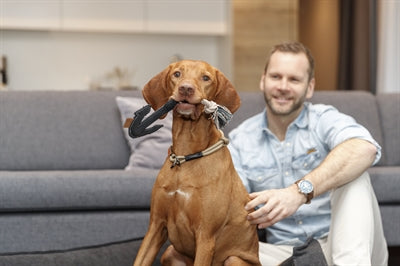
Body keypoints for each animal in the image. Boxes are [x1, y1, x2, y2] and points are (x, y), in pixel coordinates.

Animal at [133, 60, 260, 266]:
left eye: (205, 77)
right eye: (177, 74)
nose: (186, 88)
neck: (185, 158)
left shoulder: (206, 236)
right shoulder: (156, 226)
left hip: (234, 260)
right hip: (170, 252)